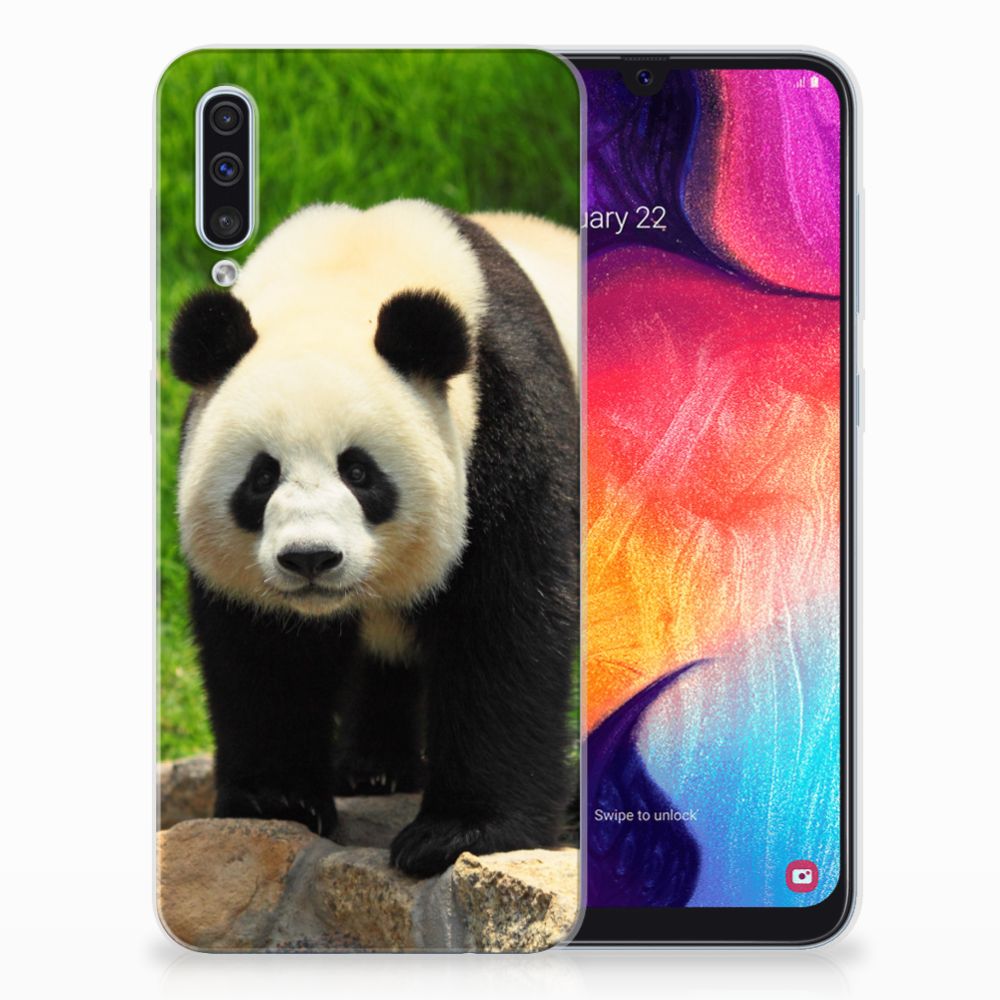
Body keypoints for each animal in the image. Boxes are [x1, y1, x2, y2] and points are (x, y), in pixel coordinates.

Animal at [168, 199, 578, 877]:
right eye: (261, 477)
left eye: (359, 472)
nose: (310, 558)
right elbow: (264, 649)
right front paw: (277, 800)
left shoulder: (509, 420)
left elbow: (506, 623)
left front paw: (458, 832)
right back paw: (372, 768)